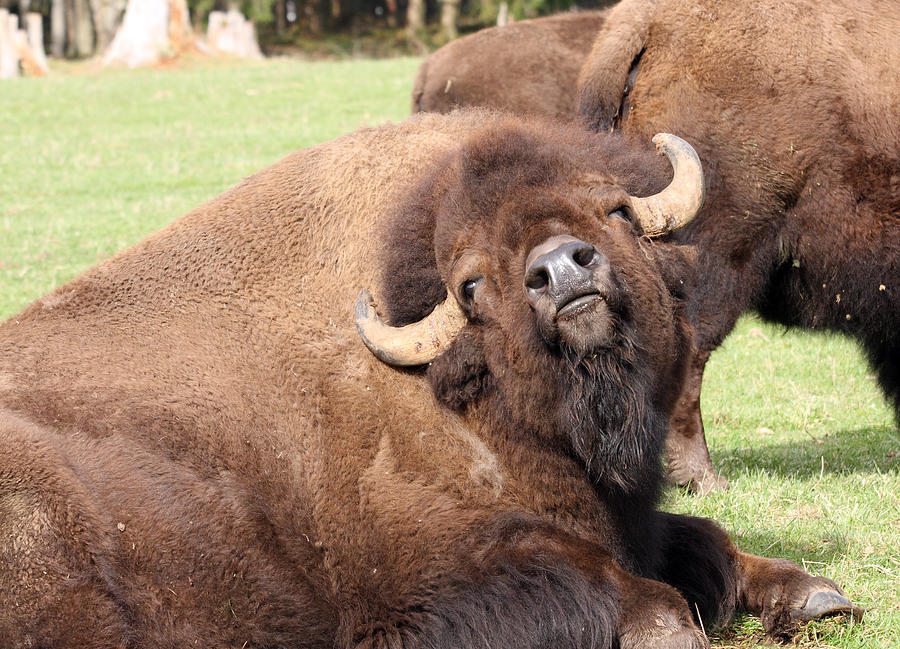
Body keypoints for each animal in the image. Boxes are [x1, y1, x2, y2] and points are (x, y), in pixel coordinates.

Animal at [0, 109, 856, 644]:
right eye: (472, 284)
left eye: (614, 211)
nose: (560, 270)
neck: (468, 396)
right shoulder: (427, 582)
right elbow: (622, 584)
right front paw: (670, 632)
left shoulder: (628, 521)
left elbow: (704, 537)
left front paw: (816, 595)